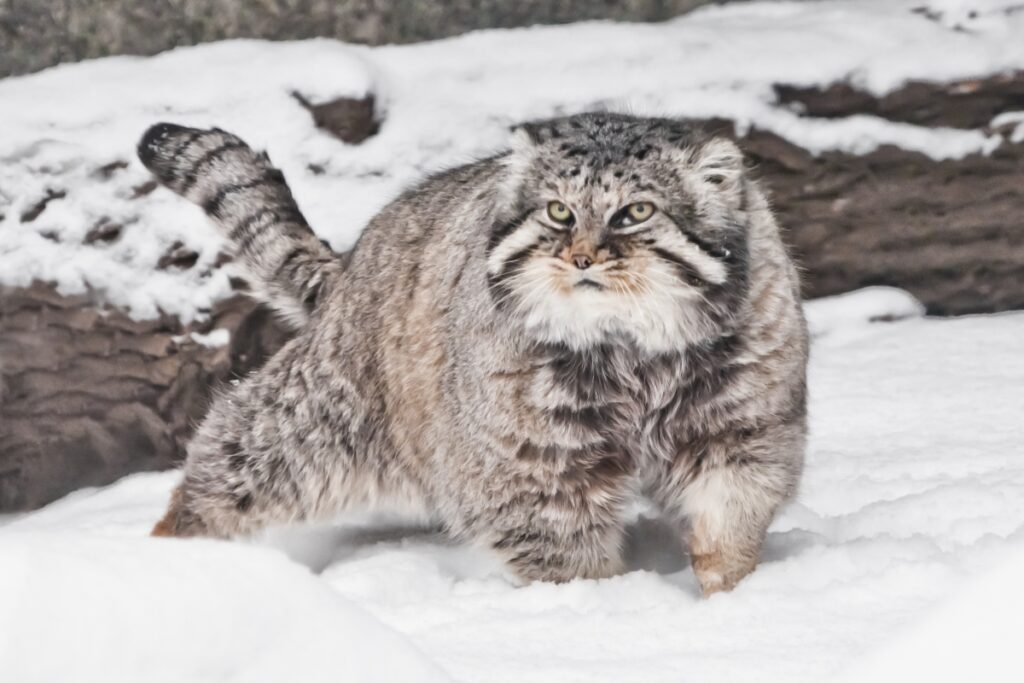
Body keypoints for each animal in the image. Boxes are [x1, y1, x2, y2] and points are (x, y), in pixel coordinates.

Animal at [138, 114, 806, 593]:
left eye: (636, 212)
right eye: (558, 211)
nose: (581, 258)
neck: (630, 347)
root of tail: (350, 264)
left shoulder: (739, 424)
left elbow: (730, 515)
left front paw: (730, 596)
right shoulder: (531, 467)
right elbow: (565, 554)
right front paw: (598, 609)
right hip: (320, 422)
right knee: (235, 461)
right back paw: (170, 551)